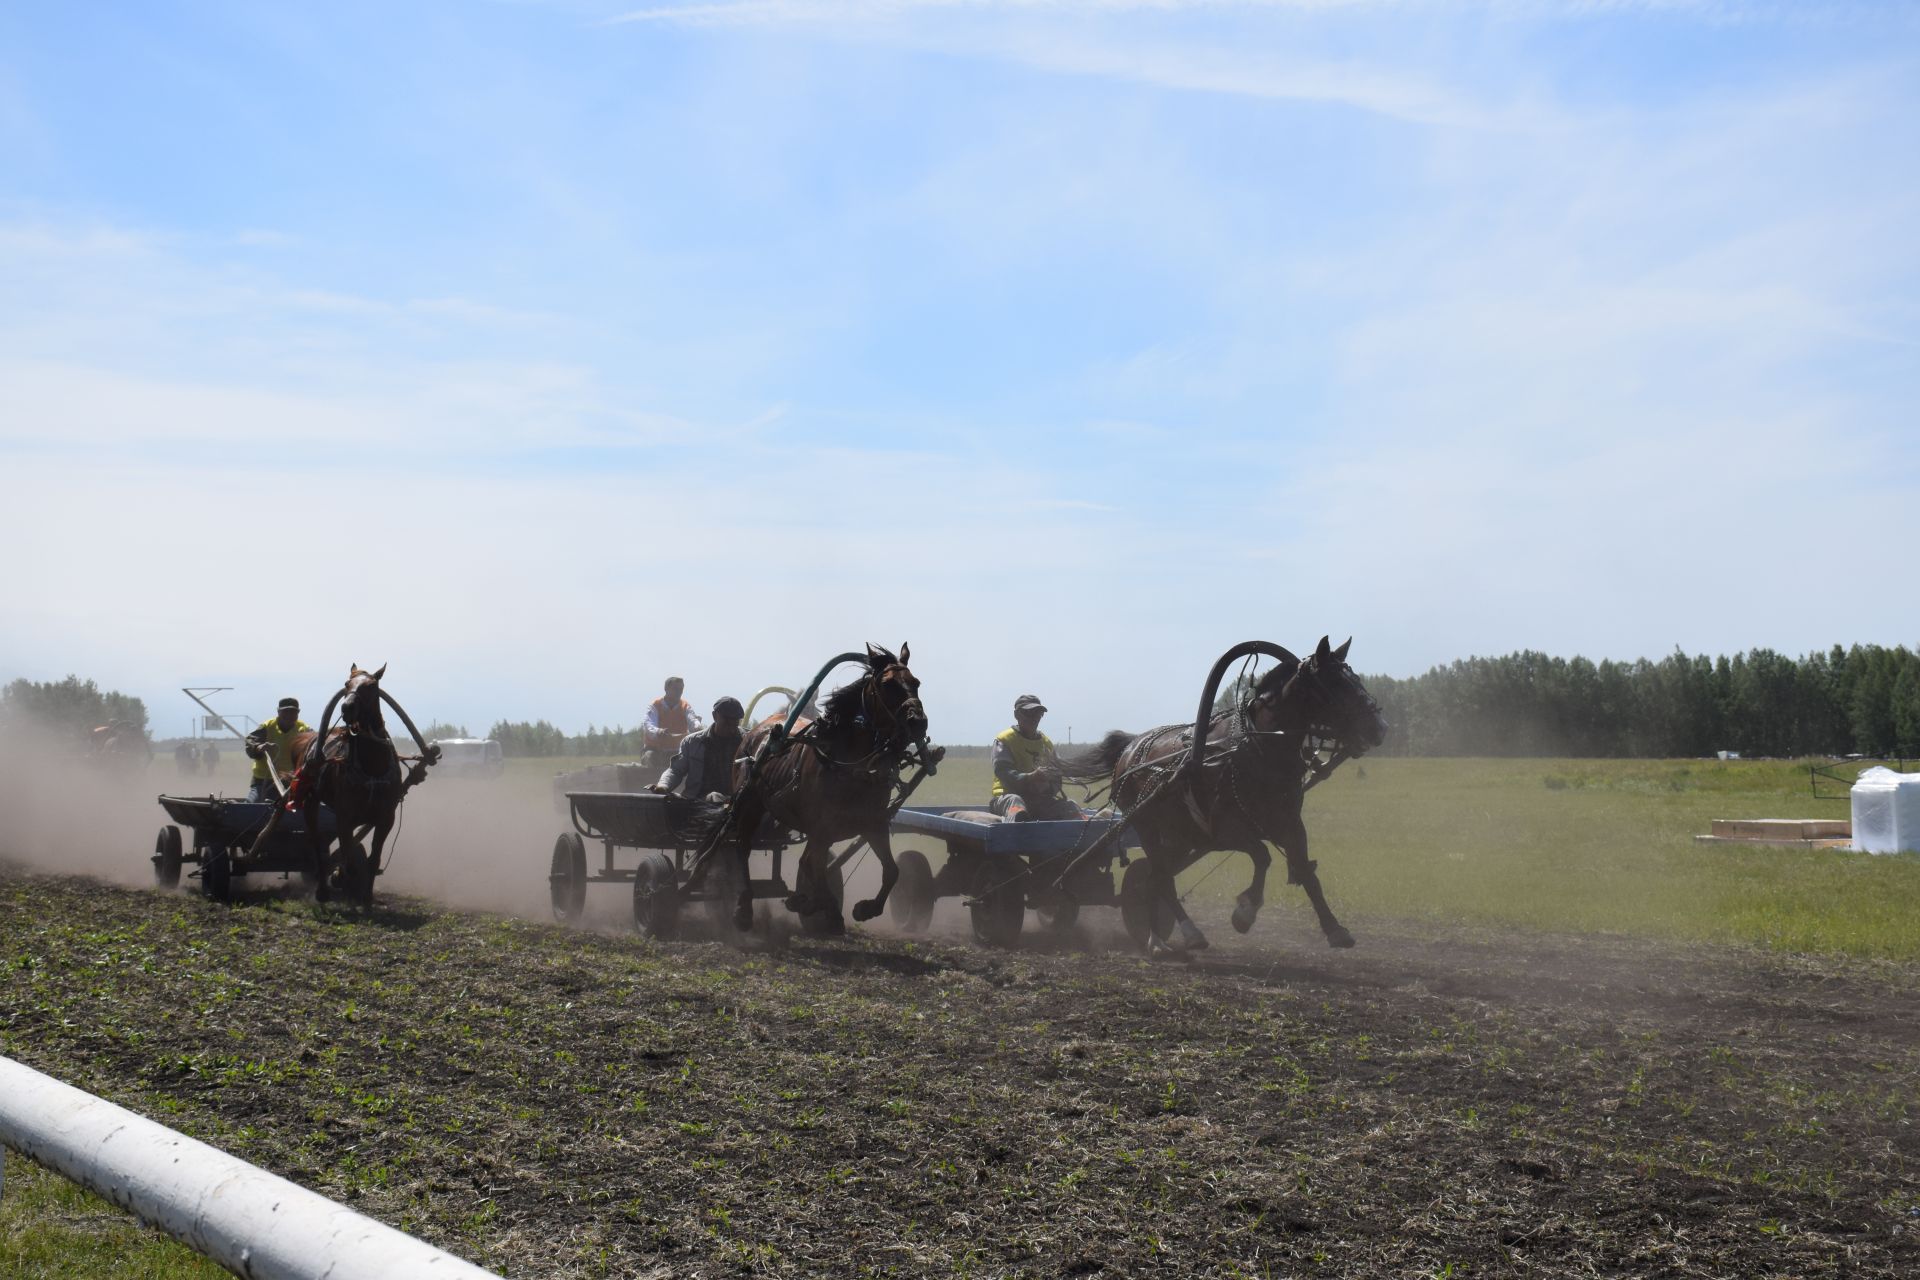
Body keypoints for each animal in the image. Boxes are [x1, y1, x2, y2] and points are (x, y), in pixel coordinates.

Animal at [714, 644, 936, 936]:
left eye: (916, 683)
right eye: (887, 684)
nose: (918, 721)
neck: (850, 764)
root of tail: (757, 731)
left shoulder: (873, 823)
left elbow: (891, 871)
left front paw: (864, 908)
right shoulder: (822, 825)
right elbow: (815, 867)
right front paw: (826, 910)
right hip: (750, 805)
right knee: (743, 848)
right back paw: (743, 909)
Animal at [1059, 637, 1390, 951]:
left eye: (1355, 678)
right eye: (1335, 684)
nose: (1380, 728)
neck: (1256, 750)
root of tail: (1128, 749)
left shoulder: (1290, 824)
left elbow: (1306, 872)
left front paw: (1335, 928)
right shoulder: (1224, 831)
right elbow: (1263, 856)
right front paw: (1245, 911)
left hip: (1178, 836)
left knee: (1153, 879)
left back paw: (1155, 935)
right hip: (1147, 826)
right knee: (1162, 877)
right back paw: (1183, 934)